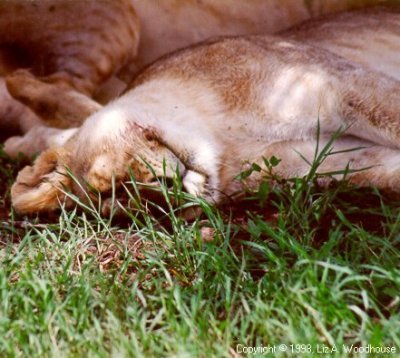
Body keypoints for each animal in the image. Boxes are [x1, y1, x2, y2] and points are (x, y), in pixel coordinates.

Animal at [10, 8, 400, 214]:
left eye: (111, 182)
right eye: (137, 207)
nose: (167, 193)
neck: (227, 137)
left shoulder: (341, 86)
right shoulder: (340, 161)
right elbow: (388, 171)